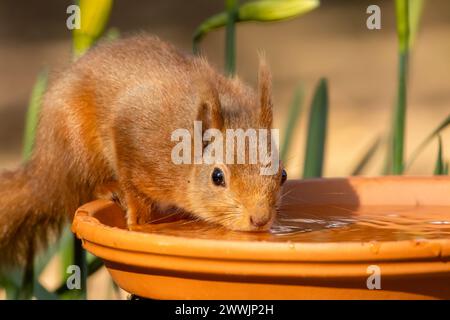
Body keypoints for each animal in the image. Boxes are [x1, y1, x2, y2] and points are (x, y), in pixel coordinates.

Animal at [0, 35, 286, 268]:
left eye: (282, 175)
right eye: (217, 177)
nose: (260, 219)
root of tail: (43, 169)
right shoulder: (133, 134)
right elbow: (131, 179)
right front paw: (138, 219)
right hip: (74, 140)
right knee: (80, 184)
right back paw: (108, 187)